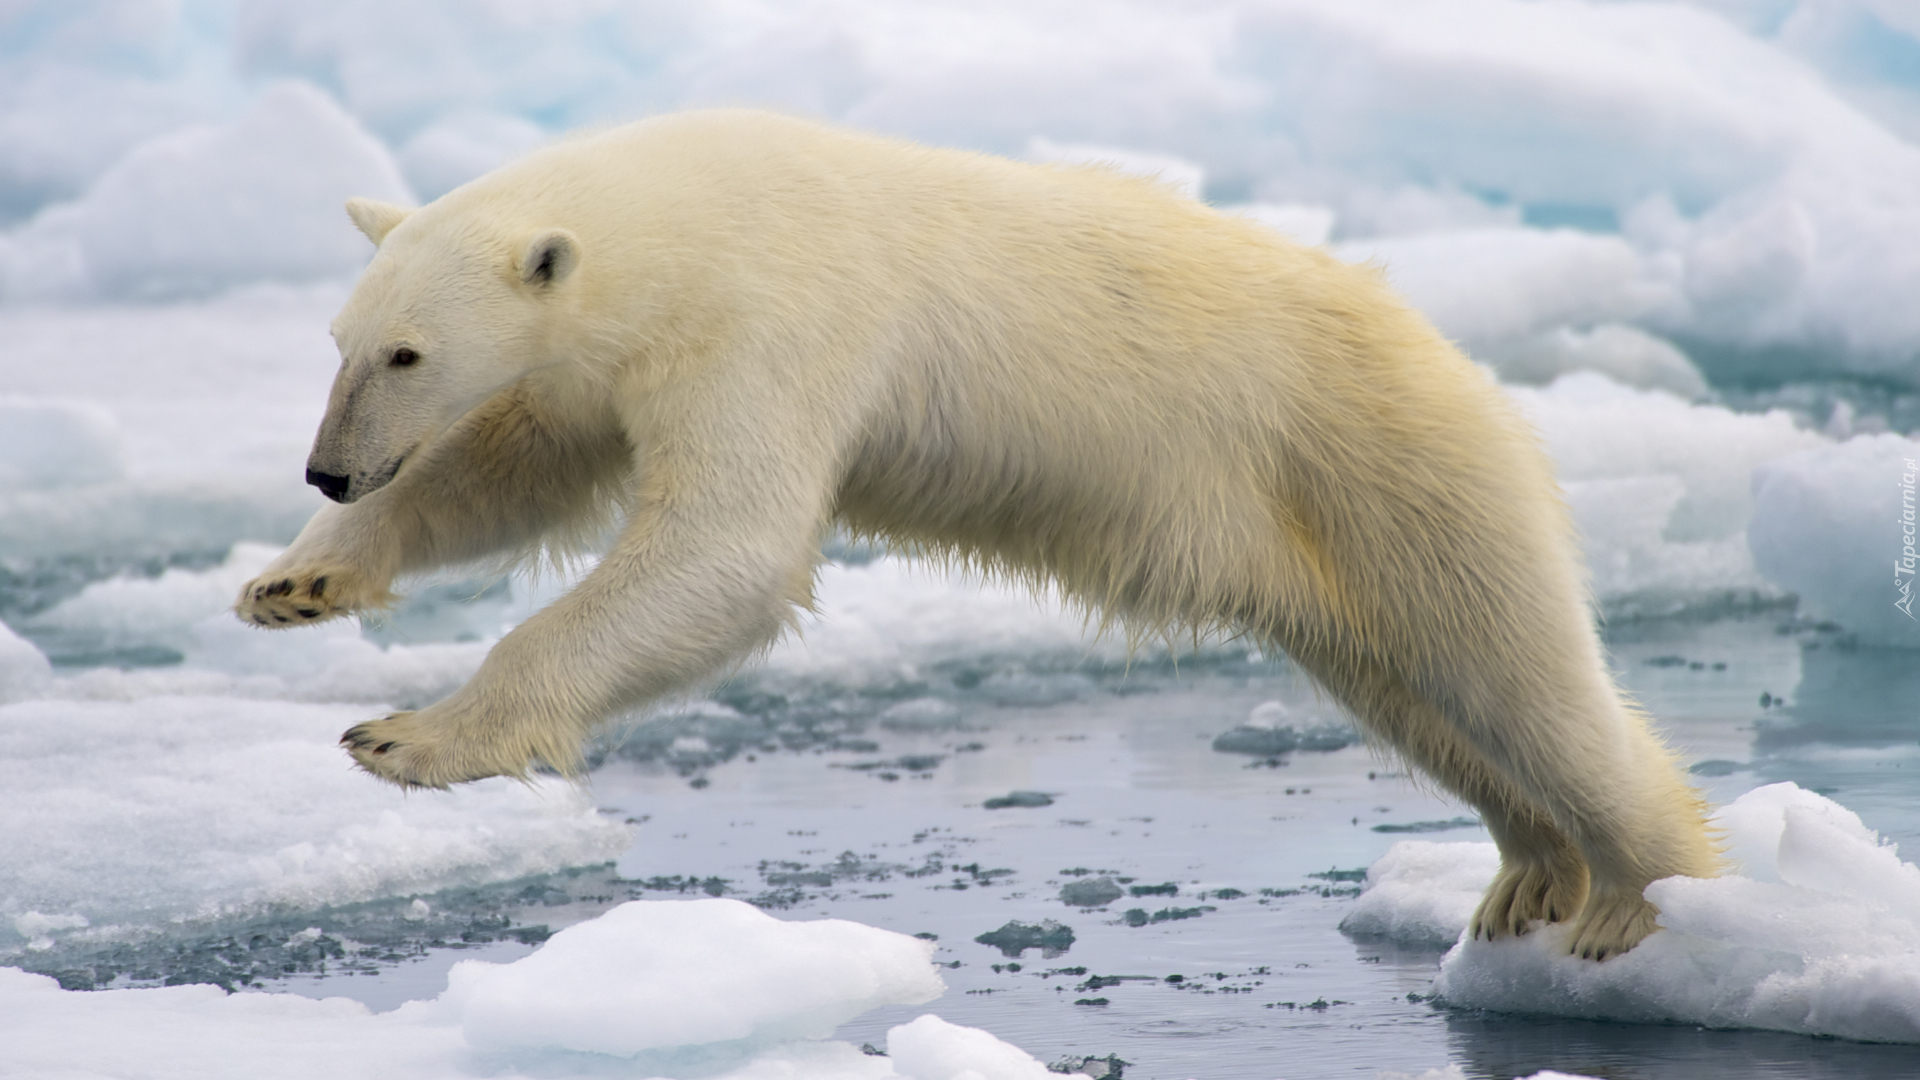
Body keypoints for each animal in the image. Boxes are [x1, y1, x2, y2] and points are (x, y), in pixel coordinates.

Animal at [232, 107, 1720, 949]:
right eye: (342, 340)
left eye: (408, 352)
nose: (327, 470)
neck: (685, 219)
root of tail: (1459, 364)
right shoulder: (616, 360)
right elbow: (518, 467)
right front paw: (295, 585)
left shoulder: (777, 320)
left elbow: (725, 546)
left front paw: (408, 737)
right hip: (1328, 544)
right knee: (1421, 697)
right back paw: (1529, 875)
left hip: (1389, 468)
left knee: (1518, 676)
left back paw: (1637, 901)